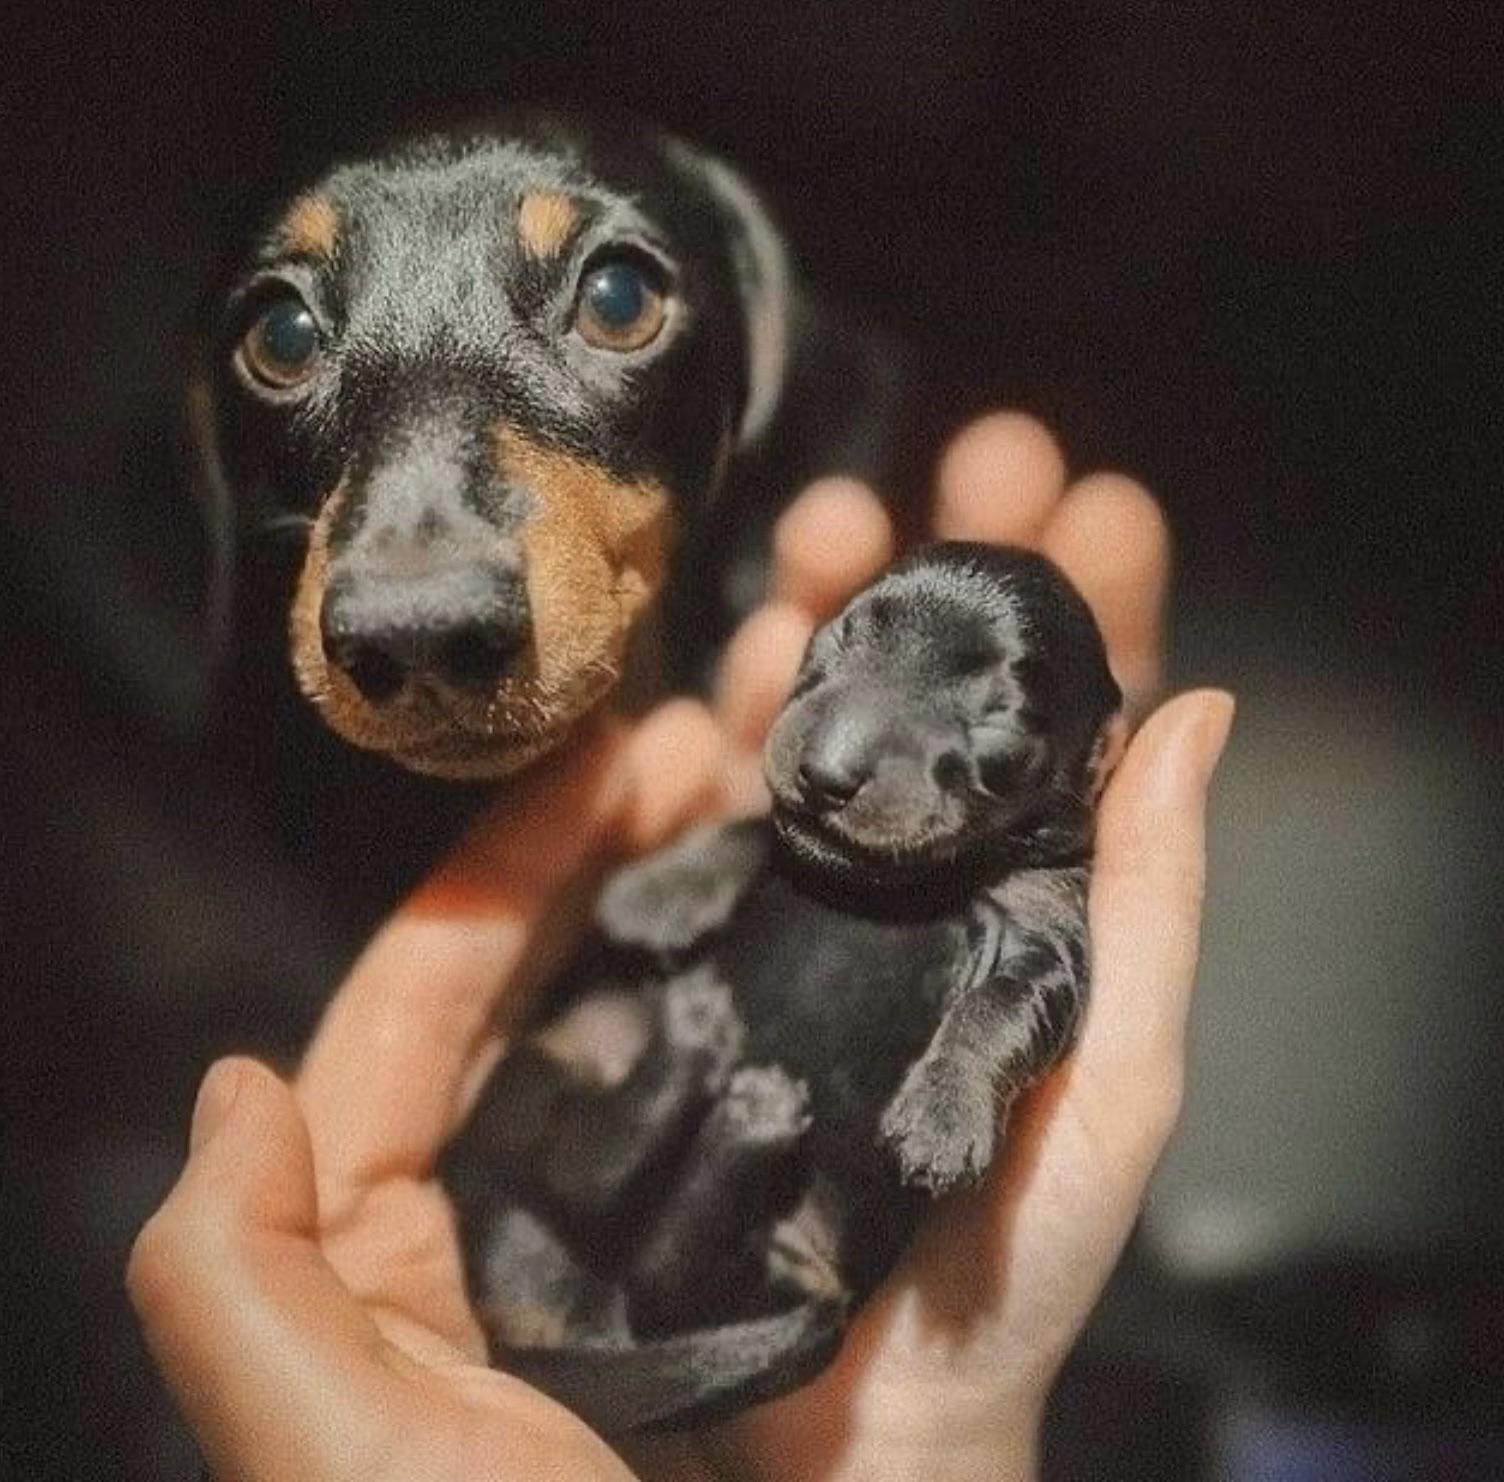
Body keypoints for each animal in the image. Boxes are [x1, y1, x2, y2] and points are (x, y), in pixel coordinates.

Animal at [439, 541, 1124, 1420]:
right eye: (840, 635)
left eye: (999, 716)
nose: (828, 773)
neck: (896, 887)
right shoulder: (791, 840)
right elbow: (754, 829)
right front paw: (657, 892)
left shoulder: (1047, 929)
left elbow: (1007, 1005)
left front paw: (943, 1116)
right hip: (551, 1064)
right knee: (599, 1188)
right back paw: (712, 1058)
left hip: (776, 1271)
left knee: (648, 1247)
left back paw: (740, 1099)